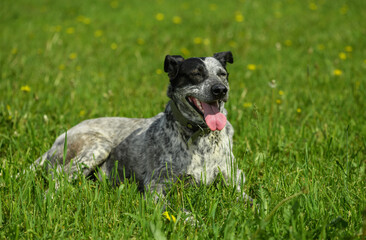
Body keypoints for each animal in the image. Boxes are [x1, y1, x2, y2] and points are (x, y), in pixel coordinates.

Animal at [33, 51, 250, 202]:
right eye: (196, 74)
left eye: (222, 74)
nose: (220, 90)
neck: (202, 138)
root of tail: (58, 139)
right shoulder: (156, 187)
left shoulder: (233, 181)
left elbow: (249, 200)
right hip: (98, 147)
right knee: (57, 178)